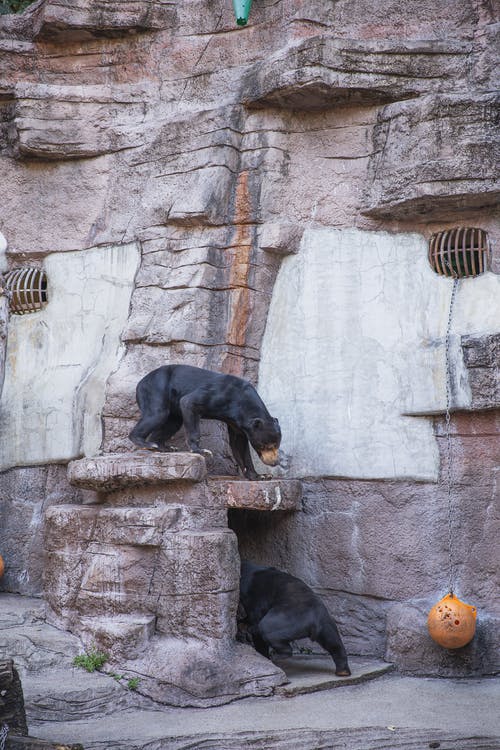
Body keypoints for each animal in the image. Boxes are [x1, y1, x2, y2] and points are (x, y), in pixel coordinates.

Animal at [129, 364, 282, 482]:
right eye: (264, 445)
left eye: (276, 445)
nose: (274, 462)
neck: (242, 402)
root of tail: (140, 381)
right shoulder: (219, 395)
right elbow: (188, 402)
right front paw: (202, 450)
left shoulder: (238, 423)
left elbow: (239, 445)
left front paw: (260, 476)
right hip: (156, 389)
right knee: (157, 414)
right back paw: (146, 443)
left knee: (172, 423)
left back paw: (164, 447)